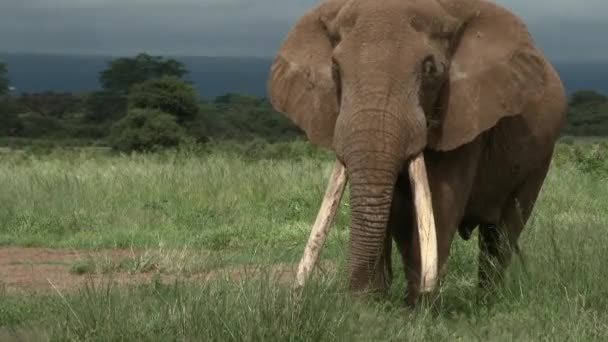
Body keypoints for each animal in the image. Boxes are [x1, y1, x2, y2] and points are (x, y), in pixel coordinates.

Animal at [266, 0, 564, 306]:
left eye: (430, 69)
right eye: (335, 69)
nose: (356, 300)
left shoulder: (464, 116)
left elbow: (441, 200)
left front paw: (416, 308)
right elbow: (391, 209)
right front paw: (374, 306)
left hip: (539, 158)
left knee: (502, 233)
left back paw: (486, 302)